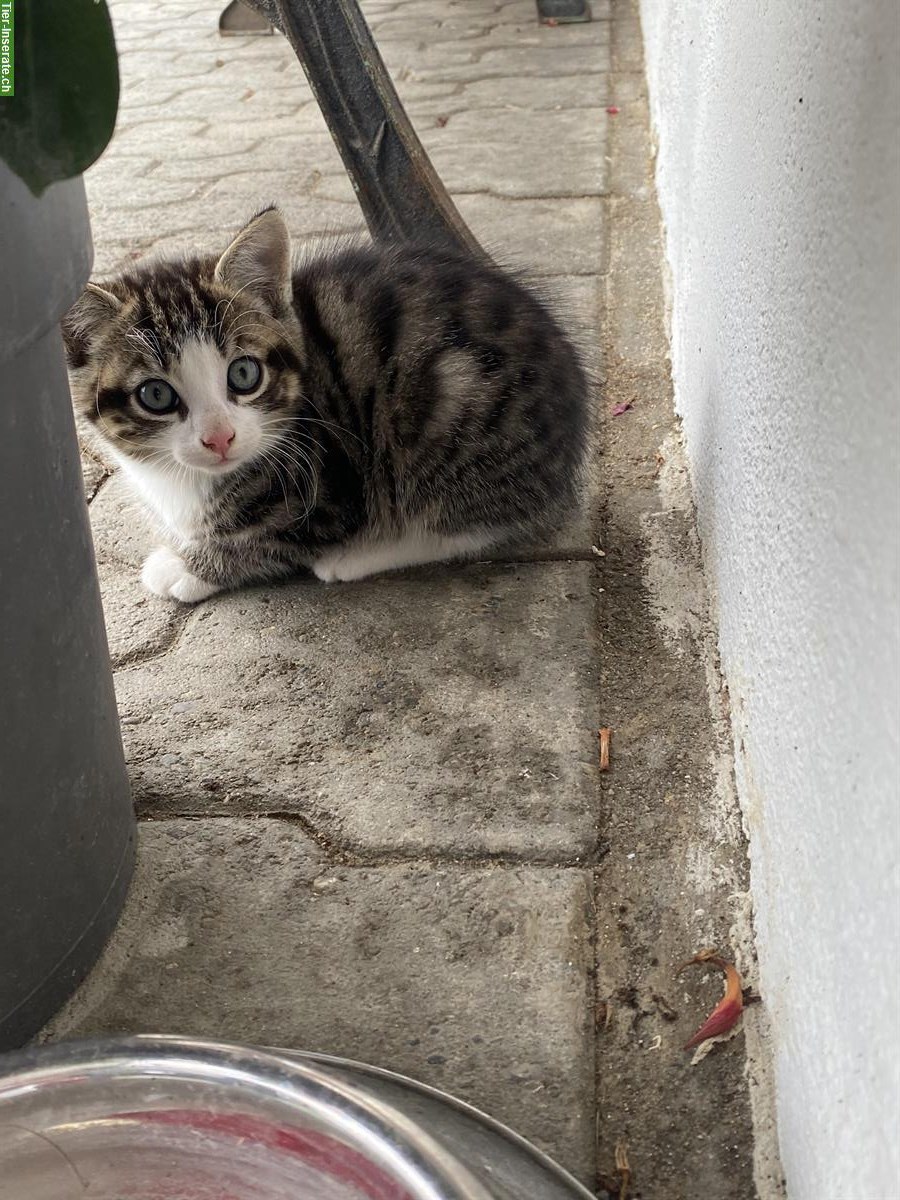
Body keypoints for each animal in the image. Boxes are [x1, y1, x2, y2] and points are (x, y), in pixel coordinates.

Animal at [66, 211, 595, 604]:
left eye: (244, 374)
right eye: (156, 396)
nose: (220, 438)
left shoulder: (326, 493)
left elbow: (270, 542)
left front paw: (185, 567)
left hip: (451, 416)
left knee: (466, 525)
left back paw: (364, 554)